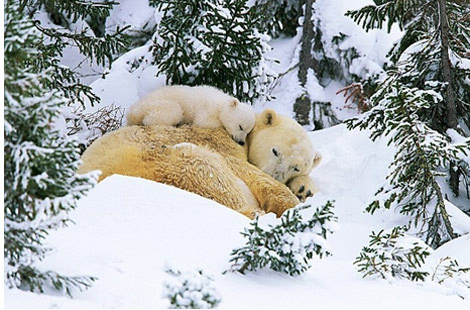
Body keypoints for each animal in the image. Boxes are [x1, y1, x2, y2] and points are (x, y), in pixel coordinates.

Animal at [80, 109, 324, 218]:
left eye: (297, 167)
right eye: (275, 151)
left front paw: (304, 188)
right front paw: (291, 203)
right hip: (162, 160)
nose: (276, 173)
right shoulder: (220, 143)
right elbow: (248, 172)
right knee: (210, 176)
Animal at [126, 85, 255, 145]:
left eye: (248, 132)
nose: (241, 142)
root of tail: (133, 111)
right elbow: (203, 121)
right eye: (240, 126)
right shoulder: (207, 109)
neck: (221, 104)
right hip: (159, 104)